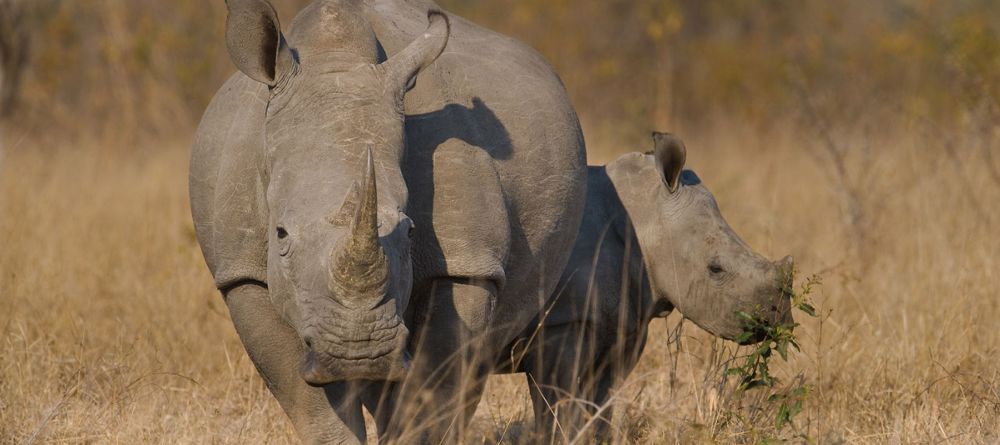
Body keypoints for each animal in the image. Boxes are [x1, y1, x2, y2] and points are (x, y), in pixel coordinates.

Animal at [188, 1, 584, 442]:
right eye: (280, 234)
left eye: (411, 231)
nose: (359, 352)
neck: (335, 60)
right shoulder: (242, 271)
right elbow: (308, 401)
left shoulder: (469, 262)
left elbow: (433, 392)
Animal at [508, 133, 796, 444]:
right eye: (715, 269)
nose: (781, 319)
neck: (645, 218)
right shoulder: (561, 323)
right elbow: (558, 407)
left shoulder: (622, 324)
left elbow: (599, 406)